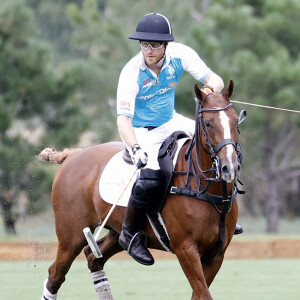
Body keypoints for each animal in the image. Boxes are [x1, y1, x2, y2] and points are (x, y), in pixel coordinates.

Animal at [38, 79, 244, 300]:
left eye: (235, 122)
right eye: (207, 123)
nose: (229, 167)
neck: (203, 187)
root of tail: (73, 155)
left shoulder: (216, 254)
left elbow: (199, 294)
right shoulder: (186, 249)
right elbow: (203, 294)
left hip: (115, 232)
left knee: (93, 256)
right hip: (71, 236)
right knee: (56, 274)